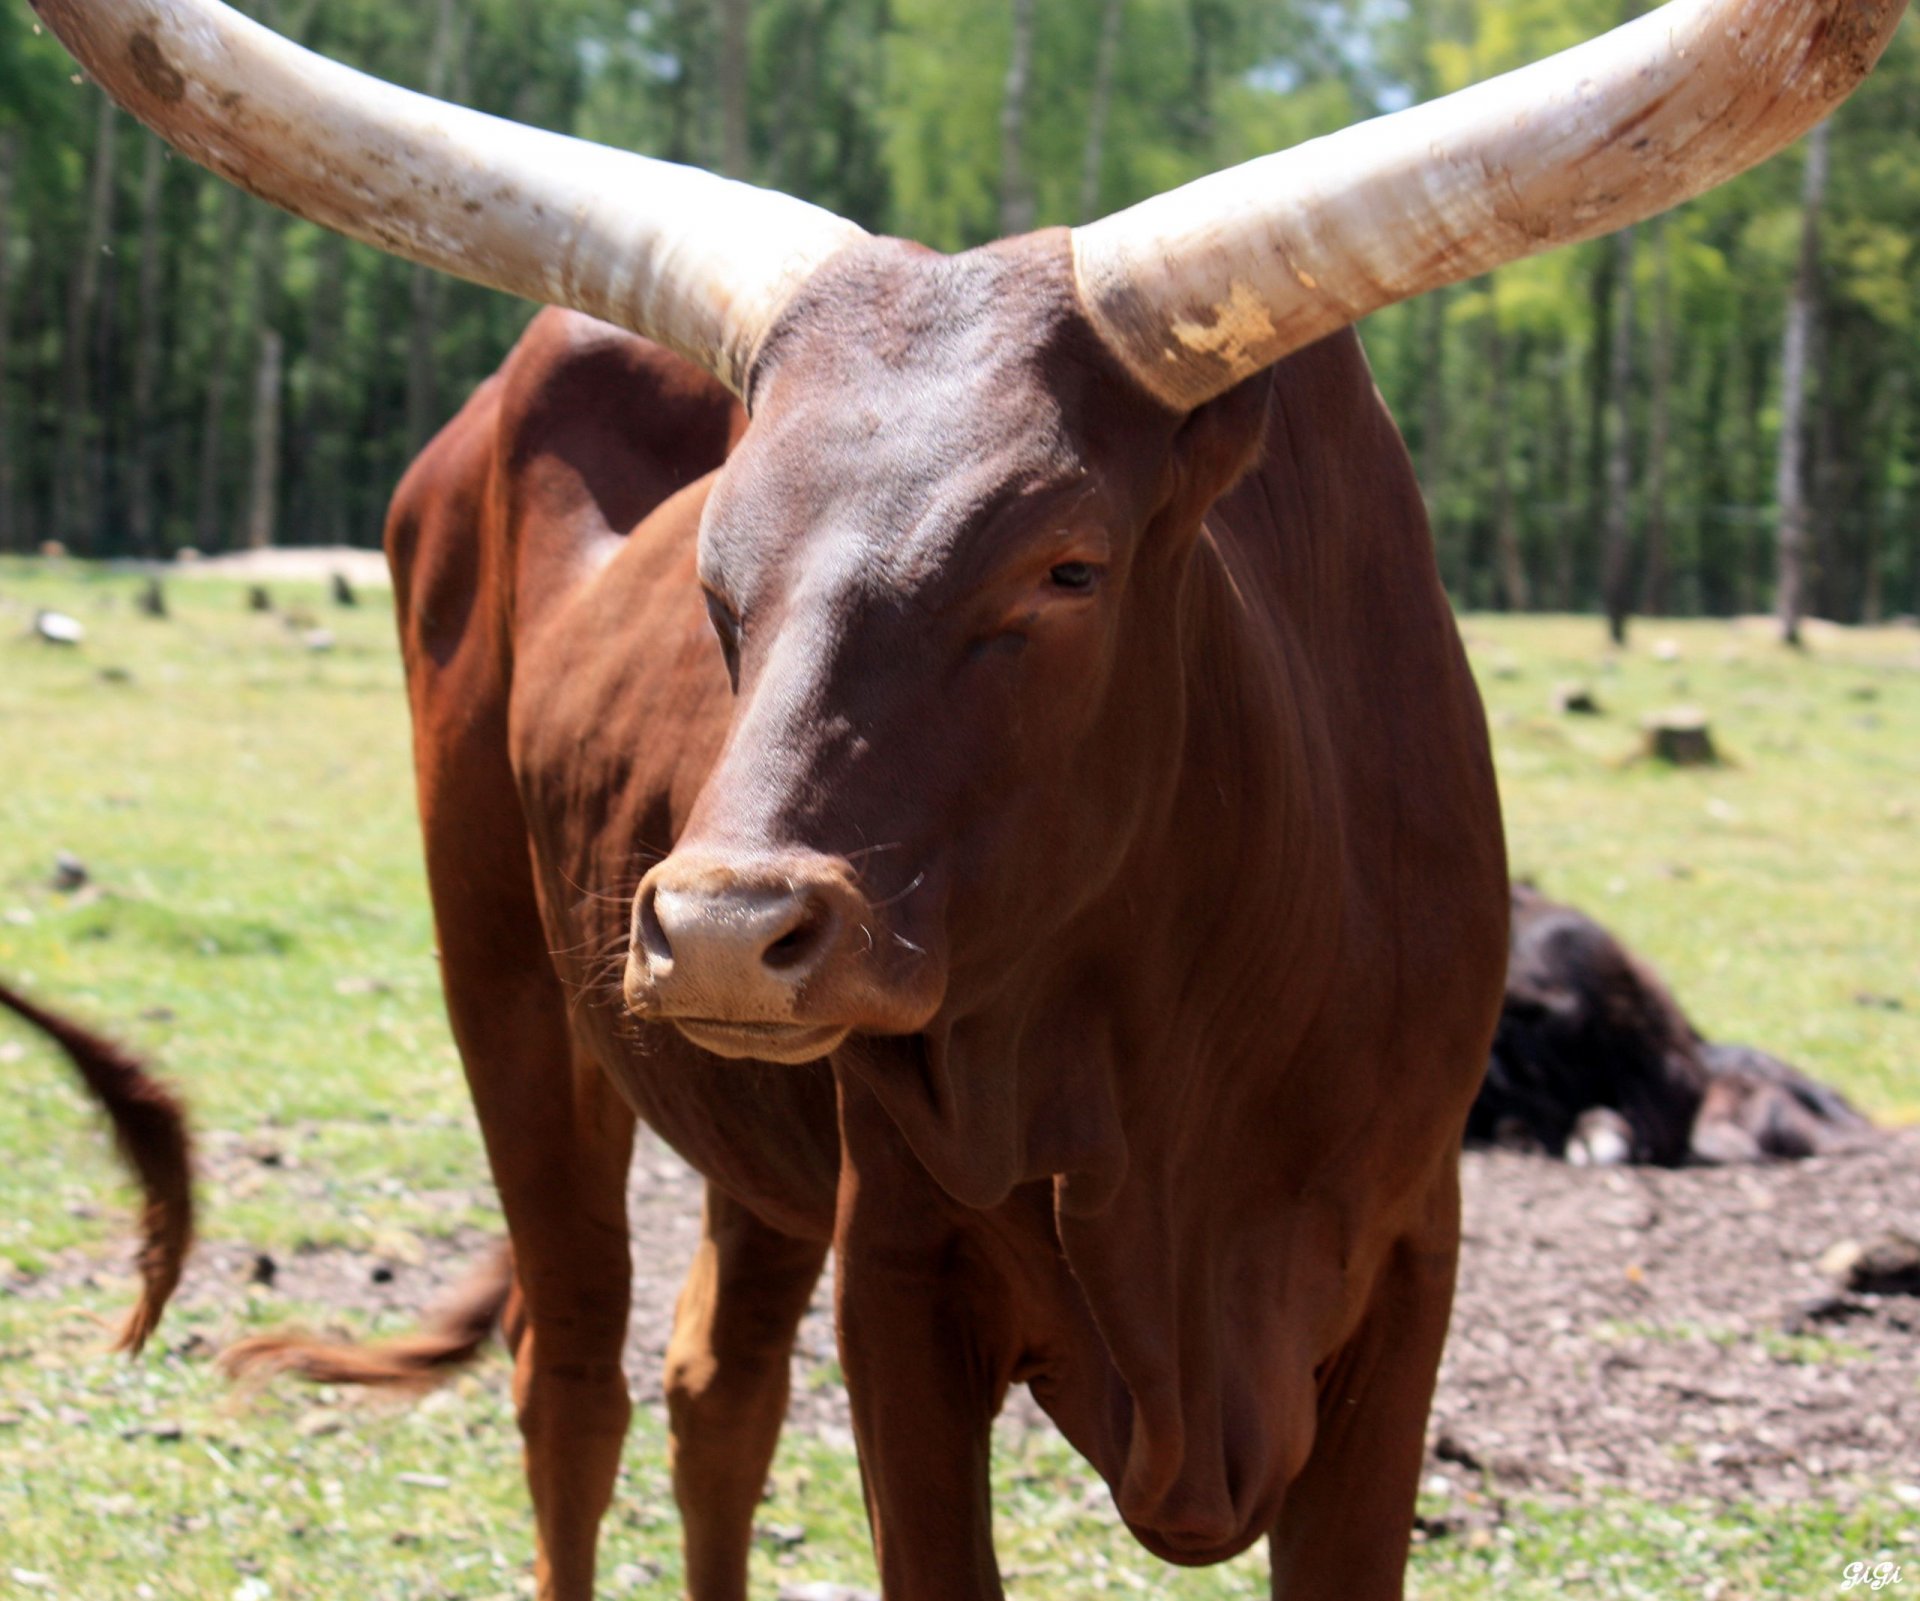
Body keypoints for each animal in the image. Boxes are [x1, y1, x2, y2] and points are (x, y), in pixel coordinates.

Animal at [37, 0, 1896, 1581]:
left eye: (1065, 565)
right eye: (716, 573)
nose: (726, 930)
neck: (1175, 1050)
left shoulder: (1401, 1282)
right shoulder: (907, 1275)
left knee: (718, 1385)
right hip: (503, 975)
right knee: (572, 1375)